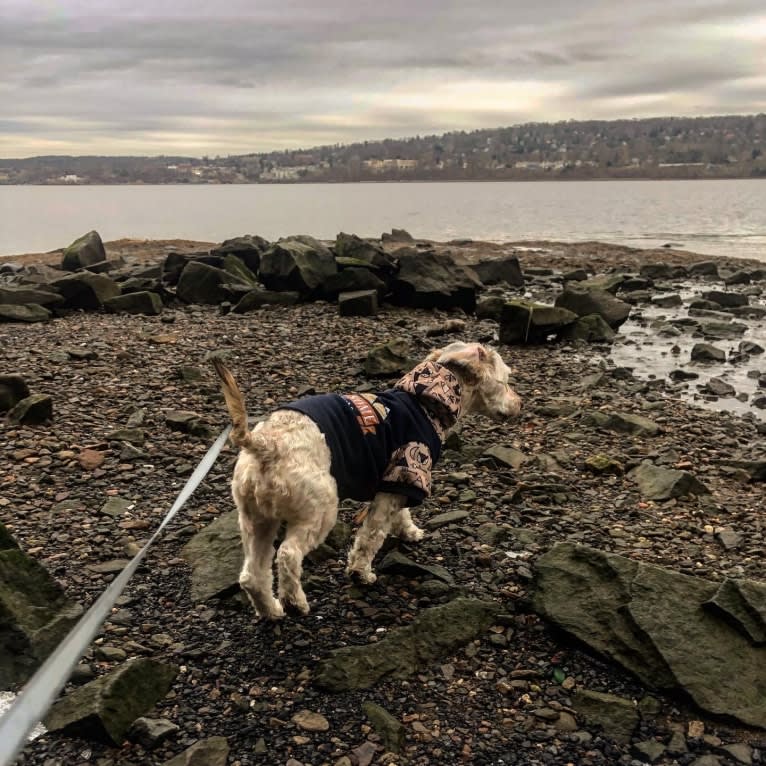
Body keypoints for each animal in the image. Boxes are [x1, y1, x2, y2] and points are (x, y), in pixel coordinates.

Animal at [210, 344, 520, 620]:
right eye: (505, 381)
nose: (520, 403)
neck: (424, 401)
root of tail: (266, 443)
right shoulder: (405, 469)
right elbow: (372, 534)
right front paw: (361, 572)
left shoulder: (397, 480)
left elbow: (400, 514)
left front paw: (409, 531)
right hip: (320, 511)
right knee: (288, 555)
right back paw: (295, 602)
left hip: (256, 519)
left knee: (252, 575)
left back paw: (271, 611)